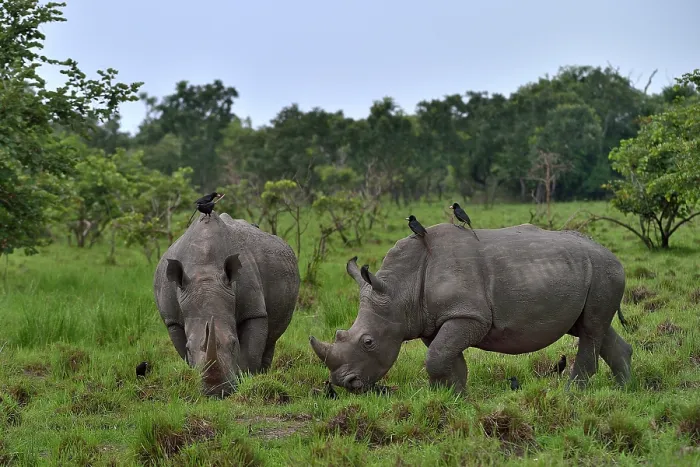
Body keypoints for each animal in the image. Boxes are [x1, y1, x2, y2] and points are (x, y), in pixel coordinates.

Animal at [154, 212, 300, 397]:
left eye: (234, 343)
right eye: (189, 347)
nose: (216, 393)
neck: (205, 274)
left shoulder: (254, 312)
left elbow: (251, 350)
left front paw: (246, 379)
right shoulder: (172, 321)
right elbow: (183, 352)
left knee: (271, 338)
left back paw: (263, 374)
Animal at [309, 223, 632, 394]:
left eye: (369, 342)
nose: (345, 383)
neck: (401, 288)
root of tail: (613, 255)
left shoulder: (469, 315)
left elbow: (437, 357)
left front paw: (446, 395)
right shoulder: (432, 319)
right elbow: (446, 357)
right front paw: (451, 397)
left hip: (604, 272)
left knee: (590, 330)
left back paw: (572, 394)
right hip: (587, 273)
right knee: (593, 329)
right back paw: (625, 389)